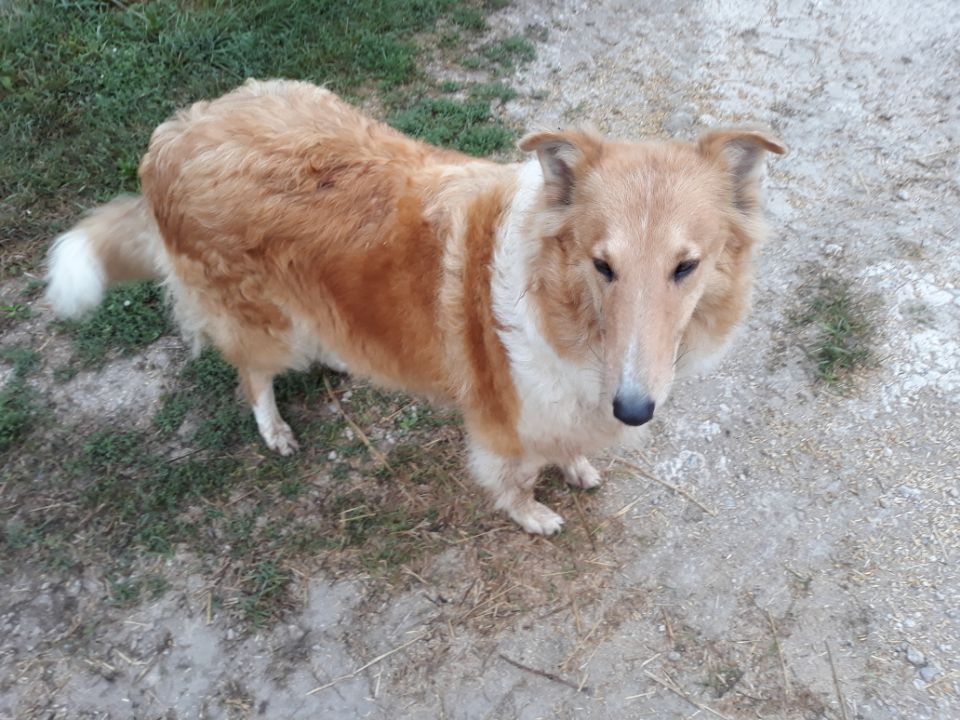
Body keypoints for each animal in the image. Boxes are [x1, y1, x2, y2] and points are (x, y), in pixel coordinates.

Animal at [43, 80, 788, 536]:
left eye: (686, 267)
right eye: (602, 265)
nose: (633, 409)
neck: (563, 310)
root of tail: (172, 137)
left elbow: (568, 445)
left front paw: (576, 468)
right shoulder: (501, 421)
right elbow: (516, 479)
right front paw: (533, 515)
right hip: (260, 322)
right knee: (251, 376)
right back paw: (275, 429)